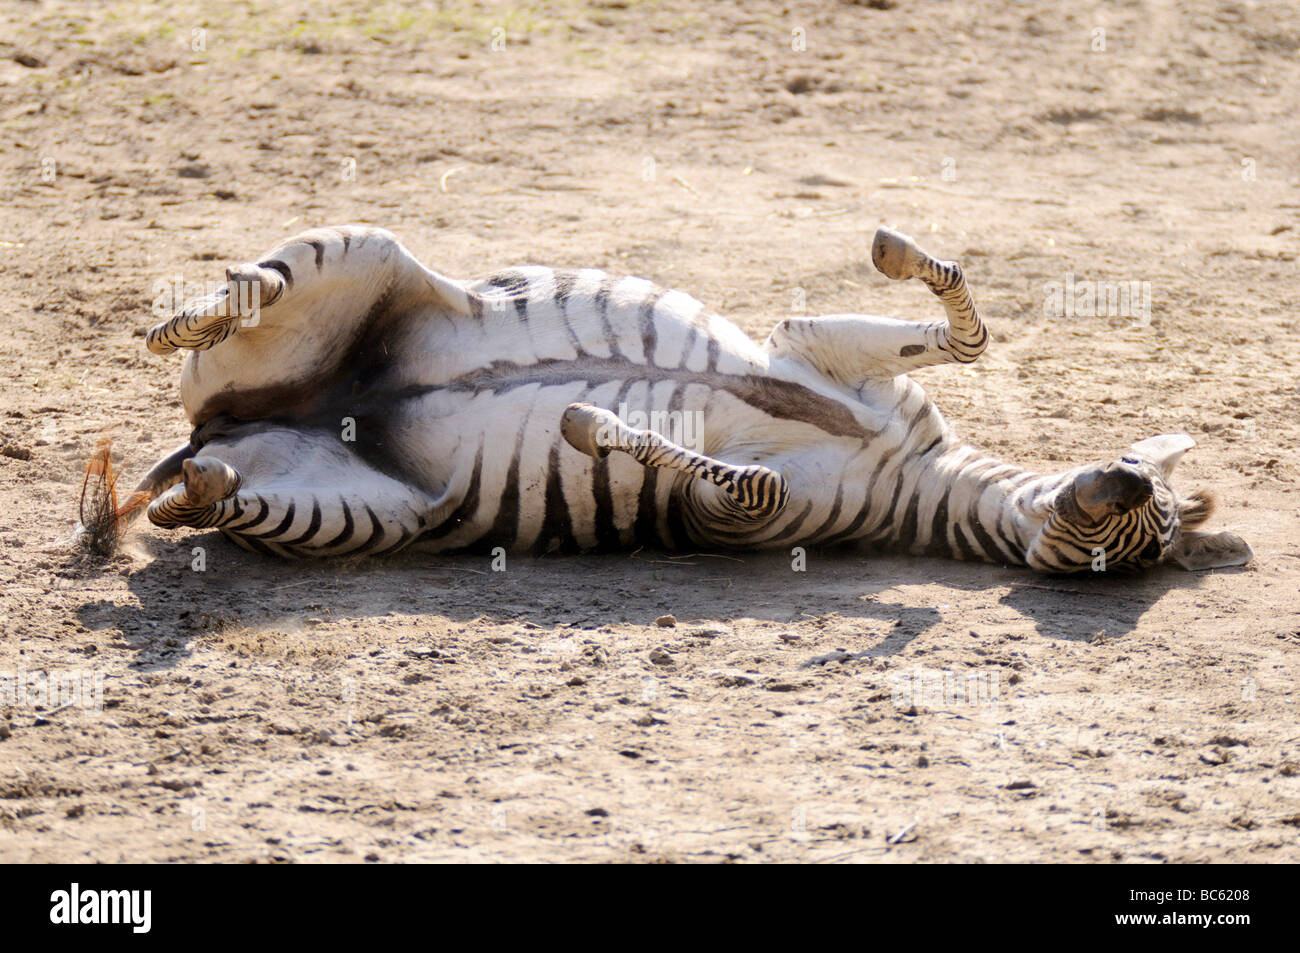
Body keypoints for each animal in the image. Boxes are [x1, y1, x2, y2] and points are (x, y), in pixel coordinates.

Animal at [126, 222, 1253, 572]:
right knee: (248, 294)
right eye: (1144, 481)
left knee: (208, 498)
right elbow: (970, 329)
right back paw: (189, 316)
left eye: (1137, 537)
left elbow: (746, 484)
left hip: (355, 513)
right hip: (364, 253)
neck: (917, 471)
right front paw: (894, 248)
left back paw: (197, 487)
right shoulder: (819, 349)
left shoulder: (744, 521)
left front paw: (595, 424)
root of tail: (218, 424)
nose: (1118, 478)